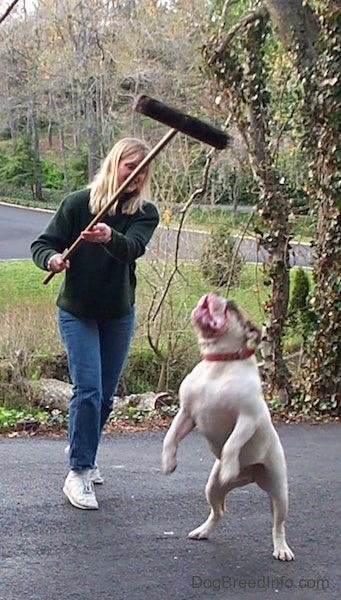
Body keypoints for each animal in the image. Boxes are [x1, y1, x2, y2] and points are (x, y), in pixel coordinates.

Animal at [161, 292, 294, 560]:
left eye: (231, 306)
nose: (211, 295)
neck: (219, 361)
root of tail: (249, 476)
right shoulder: (186, 413)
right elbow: (170, 437)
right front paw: (168, 462)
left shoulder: (247, 418)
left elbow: (232, 444)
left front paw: (230, 465)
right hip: (212, 487)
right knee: (218, 510)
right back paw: (203, 530)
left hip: (278, 488)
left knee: (278, 523)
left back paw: (281, 548)